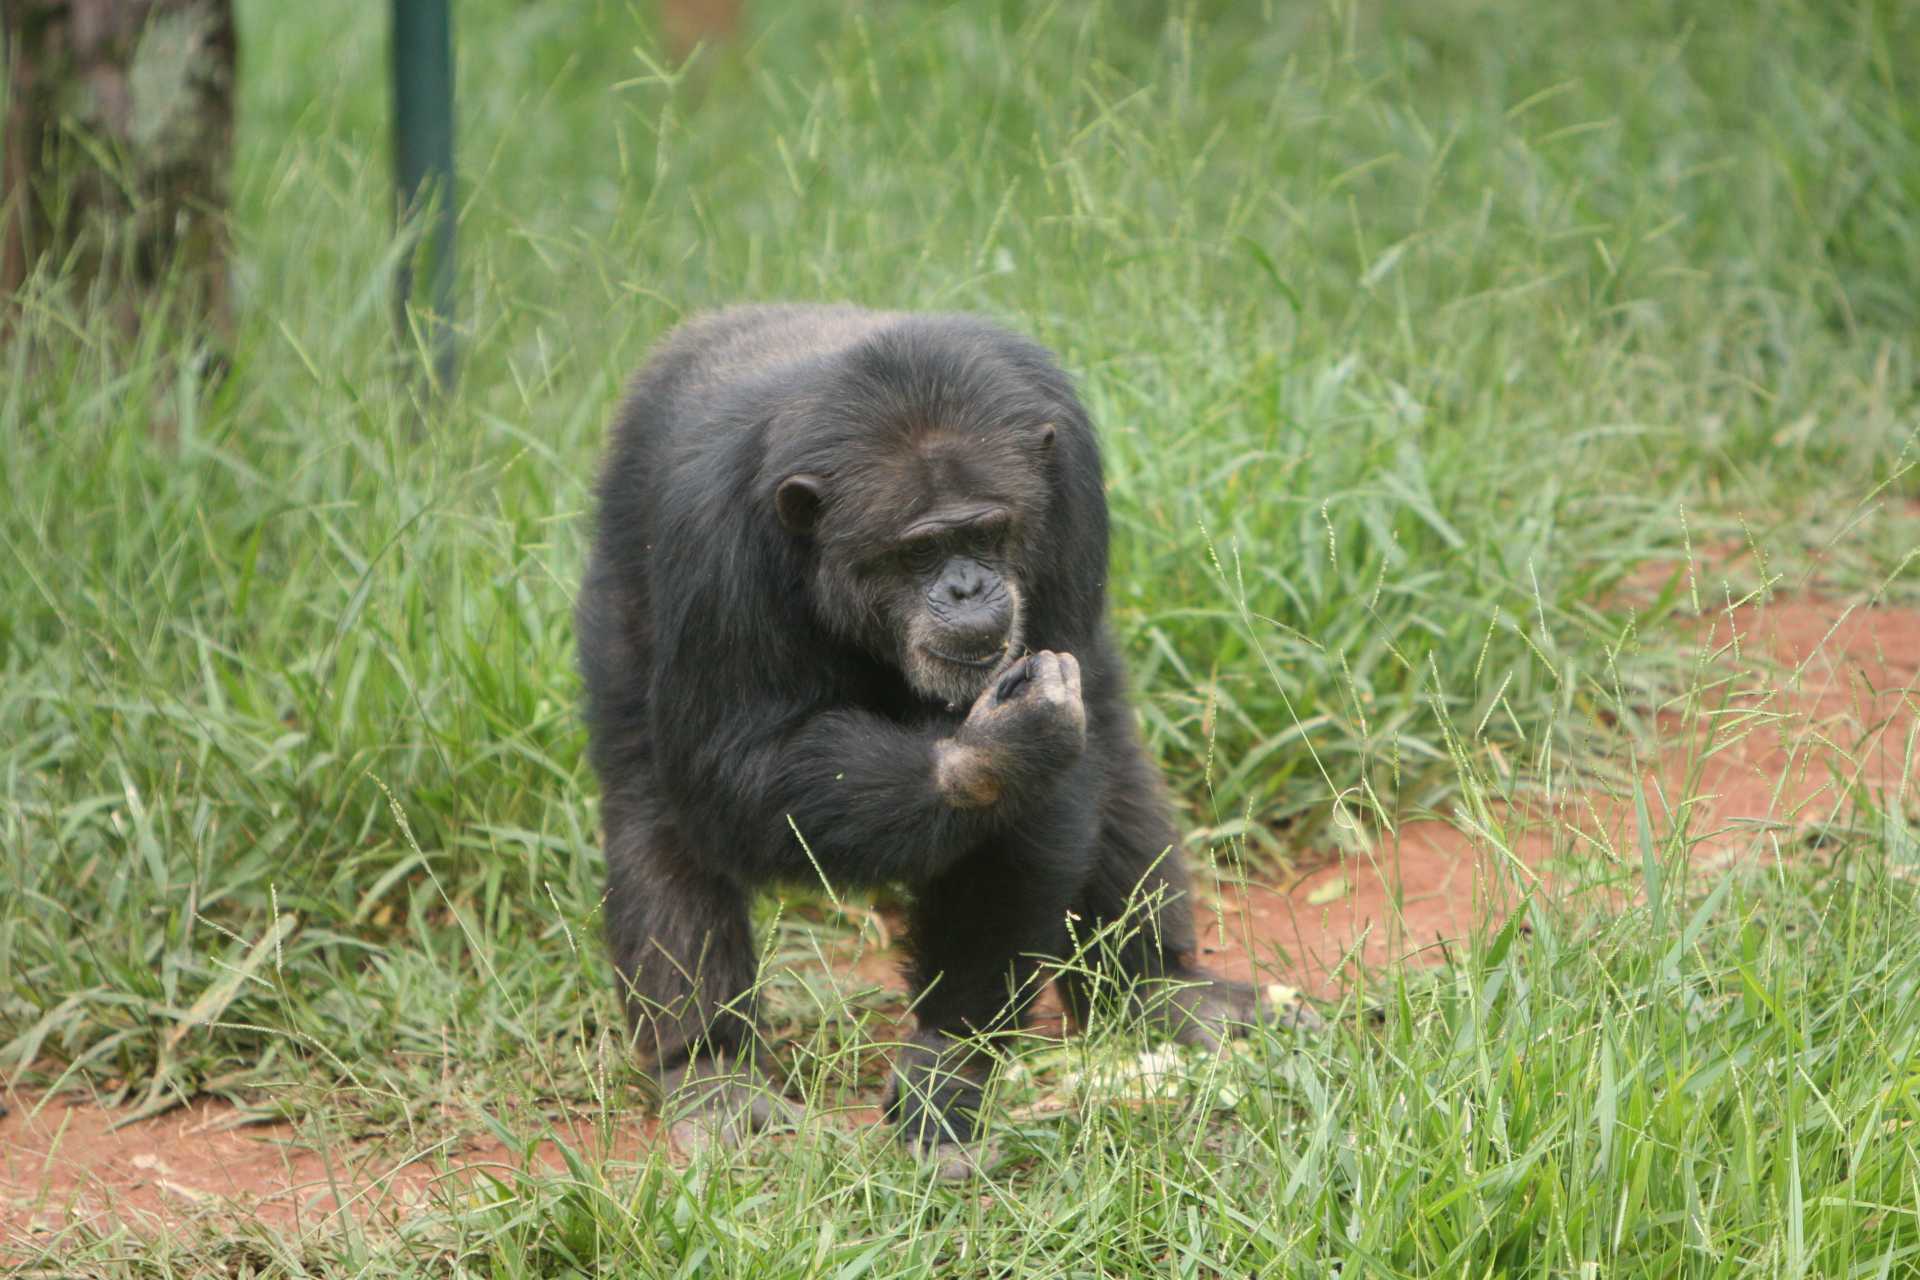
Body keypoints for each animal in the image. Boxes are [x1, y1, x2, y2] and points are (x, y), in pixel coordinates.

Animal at [568, 305, 1290, 1174]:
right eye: (918, 549)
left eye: (988, 532)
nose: (968, 587)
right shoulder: (711, 540)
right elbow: (735, 772)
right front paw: (996, 755)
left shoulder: (1071, 490)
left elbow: (1052, 800)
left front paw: (950, 1060)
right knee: (653, 805)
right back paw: (711, 1068)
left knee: (1114, 749)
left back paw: (1162, 989)